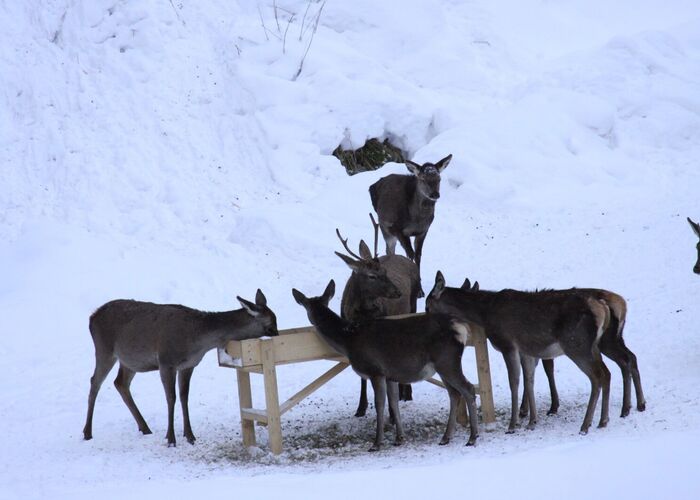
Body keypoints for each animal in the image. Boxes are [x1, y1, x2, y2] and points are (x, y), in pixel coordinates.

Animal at [82, 290, 278, 447]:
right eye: (270, 324)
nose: (277, 335)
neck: (197, 341)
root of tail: (92, 317)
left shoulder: (188, 365)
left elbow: (184, 397)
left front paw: (190, 435)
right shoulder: (166, 362)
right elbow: (171, 398)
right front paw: (171, 438)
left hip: (129, 360)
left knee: (120, 383)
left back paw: (144, 427)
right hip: (104, 350)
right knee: (95, 382)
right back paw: (87, 432)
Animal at [292, 280, 479, 451]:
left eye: (306, 308)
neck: (348, 341)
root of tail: (460, 328)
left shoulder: (375, 371)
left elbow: (380, 404)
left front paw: (376, 443)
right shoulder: (391, 375)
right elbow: (394, 402)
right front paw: (399, 438)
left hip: (447, 361)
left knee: (468, 389)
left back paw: (472, 438)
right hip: (442, 367)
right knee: (454, 394)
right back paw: (446, 438)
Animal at [335, 214, 420, 417]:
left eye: (384, 271)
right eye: (371, 276)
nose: (397, 292)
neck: (359, 315)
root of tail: (409, 260)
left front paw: (390, 411)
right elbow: (362, 377)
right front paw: (361, 407)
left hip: (413, 304)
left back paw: (407, 392)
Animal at [369, 154, 452, 297]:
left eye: (439, 179)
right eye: (423, 178)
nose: (435, 194)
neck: (416, 220)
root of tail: (373, 185)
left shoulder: (423, 231)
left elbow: (418, 256)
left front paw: (420, 290)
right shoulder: (397, 228)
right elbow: (410, 254)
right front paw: (417, 289)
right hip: (385, 227)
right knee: (390, 250)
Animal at [427, 271, 611, 435]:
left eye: (427, 306)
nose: (427, 319)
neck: (485, 314)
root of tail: (602, 307)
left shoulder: (508, 344)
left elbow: (514, 381)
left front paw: (512, 425)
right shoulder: (525, 350)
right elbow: (529, 380)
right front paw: (532, 421)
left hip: (576, 344)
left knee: (596, 376)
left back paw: (585, 425)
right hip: (593, 346)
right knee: (606, 373)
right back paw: (603, 420)